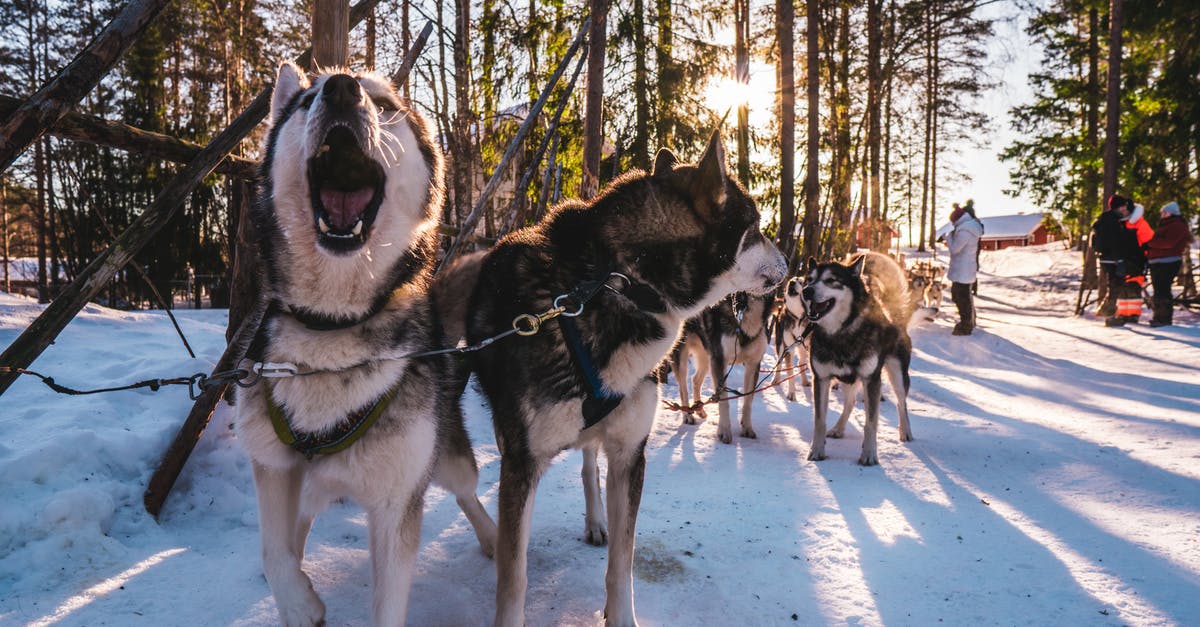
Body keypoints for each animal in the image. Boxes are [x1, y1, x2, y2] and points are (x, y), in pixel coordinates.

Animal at [231, 60, 494, 619]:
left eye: (386, 105)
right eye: (305, 101)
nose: (340, 90)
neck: (332, 324)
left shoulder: (397, 502)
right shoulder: (272, 466)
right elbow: (273, 552)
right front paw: (299, 603)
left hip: (447, 458)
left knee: (466, 492)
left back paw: (490, 536)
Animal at [672, 291, 772, 439]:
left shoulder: (753, 363)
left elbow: (748, 400)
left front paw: (747, 428)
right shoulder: (720, 360)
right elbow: (724, 400)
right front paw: (724, 431)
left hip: (706, 357)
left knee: (695, 380)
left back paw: (699, 409)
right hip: (684, 356)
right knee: (683, 388)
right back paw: (687, 415)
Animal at [801, 249, 912, 463]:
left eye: (831, 280)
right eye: (809, 280)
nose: (806, 291)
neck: (841, 333)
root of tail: (892, 312)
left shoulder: (871, 380)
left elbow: (871, 422)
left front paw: (869, 454)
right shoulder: (822, 378)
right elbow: (819, 420)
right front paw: (816, 450)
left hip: (897, 375)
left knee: (901, 402)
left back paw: (905, 431)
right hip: (847, 379)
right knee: (850, 402)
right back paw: (838, 428)